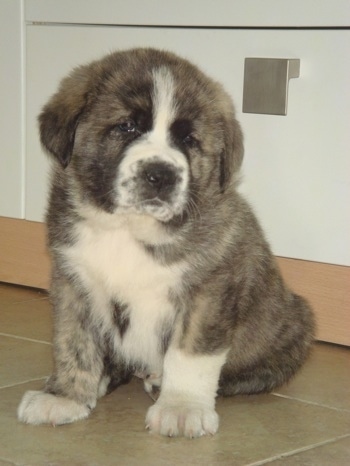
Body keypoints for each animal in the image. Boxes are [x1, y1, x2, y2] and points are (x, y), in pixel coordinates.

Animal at [17, 49, 314, 438]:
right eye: (126, 126)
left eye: (189, 140)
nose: (161, 174)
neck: (128, 229)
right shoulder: (72, 281)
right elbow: (73, 342)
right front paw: (66, 395)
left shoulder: (208, 290)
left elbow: (190, 353)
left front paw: (182, 406)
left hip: (297, 322)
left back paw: (159, 381)